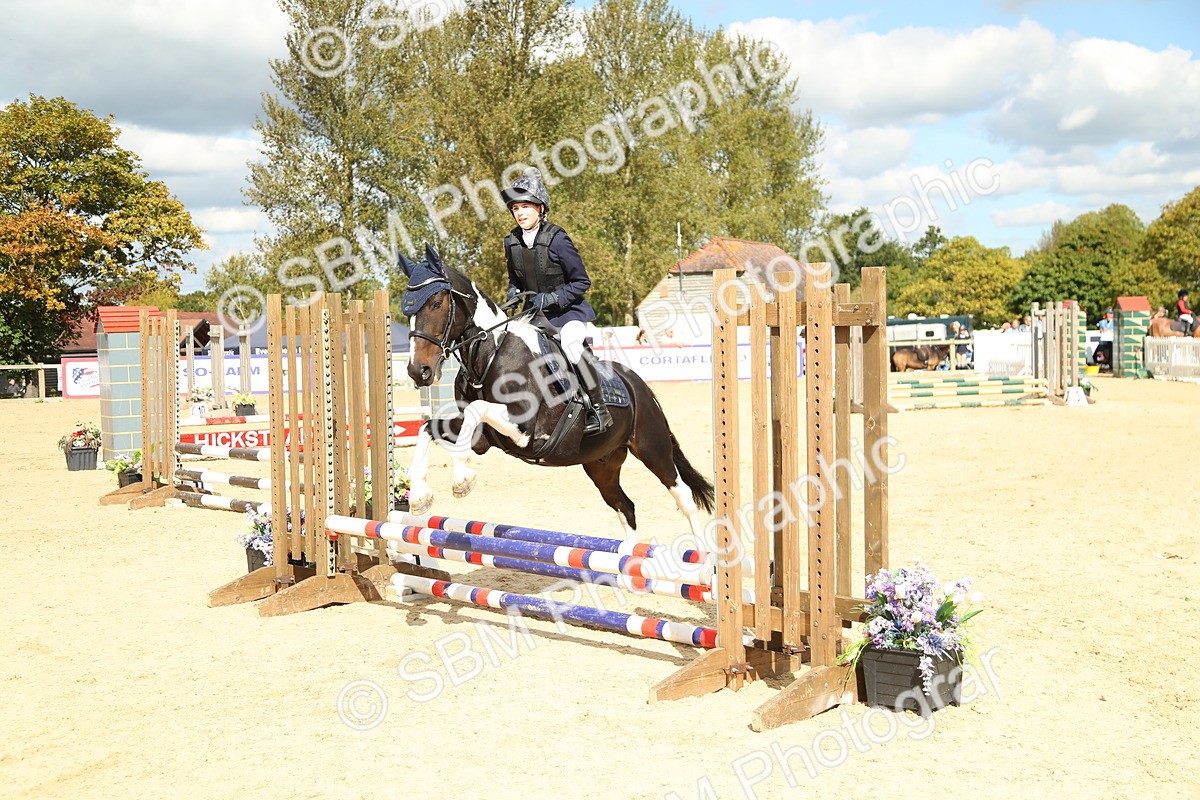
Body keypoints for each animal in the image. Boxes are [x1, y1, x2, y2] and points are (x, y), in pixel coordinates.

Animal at [398, 245, 714, 540]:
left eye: (437, 303)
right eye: (407, 310)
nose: (417, 371)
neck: (489, 356)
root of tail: (641, 388)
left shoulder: (524, 429)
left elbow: (477, 411)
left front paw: (462, 479)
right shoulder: (483, 438)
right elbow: (427, 429)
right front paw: (419, 496)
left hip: (652, 448)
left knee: (683, 496)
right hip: (602, 463)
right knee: (625, 506)